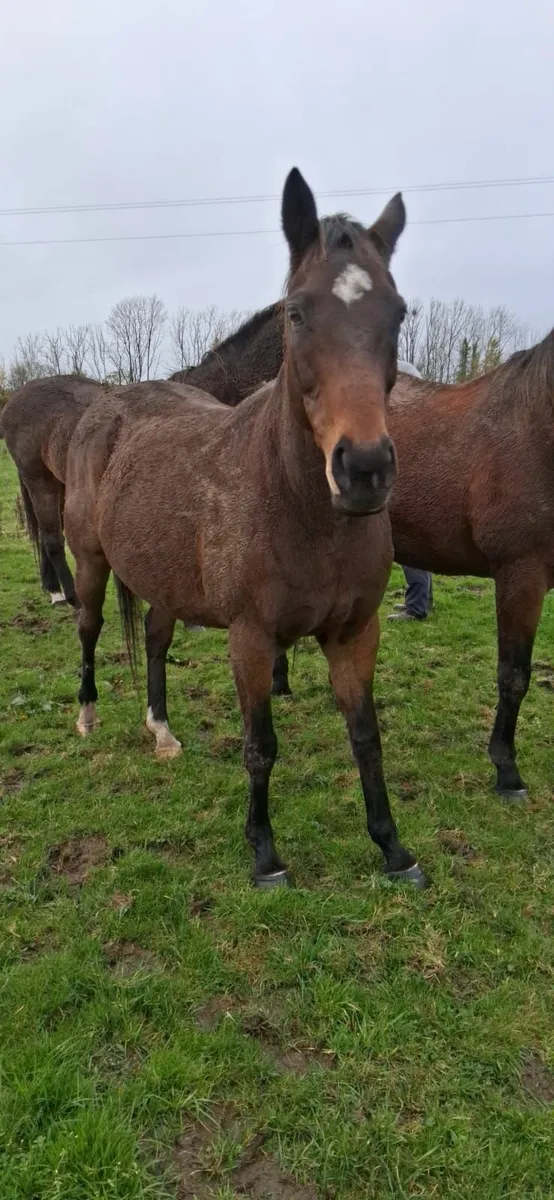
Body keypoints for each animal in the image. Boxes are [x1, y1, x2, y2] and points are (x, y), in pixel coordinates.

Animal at [63, 166, 426, 890]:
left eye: (397, 312)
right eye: (295, 313)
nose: (365, 469)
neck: (302, 511)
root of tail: (108, 407)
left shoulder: (354, 634)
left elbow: (366, 739)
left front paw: (392, 848)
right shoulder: (252, 639)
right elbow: (260, 746)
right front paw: (264, 854)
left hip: (166, 580)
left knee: (153, 640)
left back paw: (162, 731)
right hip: (89, 561)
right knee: (89, 628)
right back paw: (88, 716)